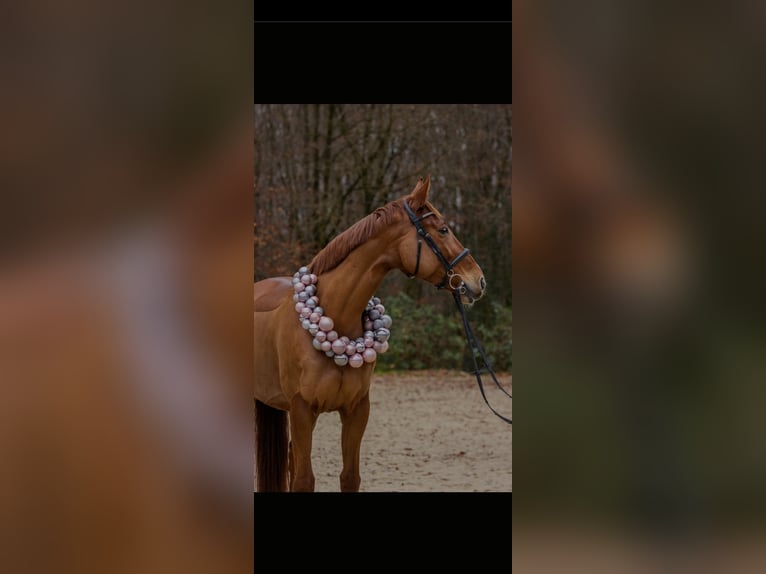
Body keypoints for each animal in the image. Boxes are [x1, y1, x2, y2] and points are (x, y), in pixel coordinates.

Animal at [254, 175, 486, 492]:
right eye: (443, 229)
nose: (479, 280)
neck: (336, 318)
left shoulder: (357, 410)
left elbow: (349, 477)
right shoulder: (302, 410)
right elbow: (304, 480)